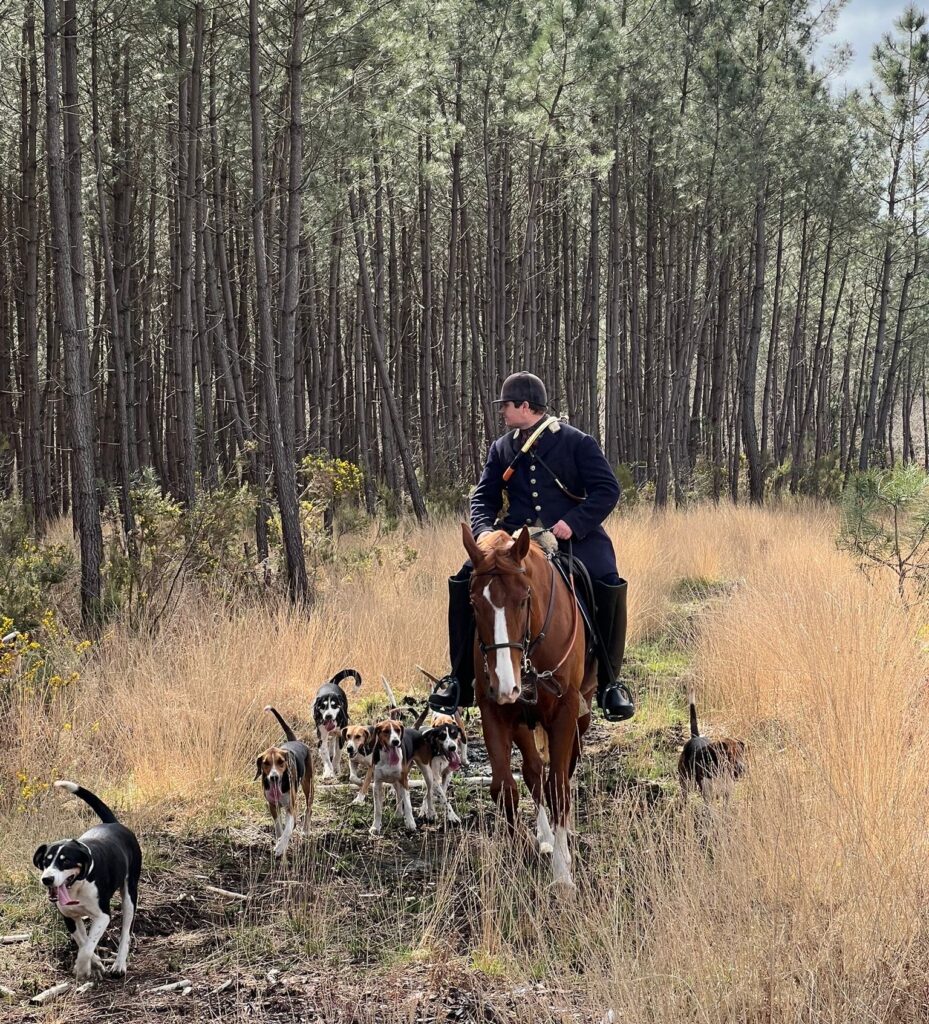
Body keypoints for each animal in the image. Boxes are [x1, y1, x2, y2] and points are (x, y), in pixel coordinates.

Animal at [33, 778, 142, 978]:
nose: (47, 879)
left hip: (130, 894)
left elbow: (87, 947)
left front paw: (82, 968)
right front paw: (96, 964)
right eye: (45, 861)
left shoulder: (103, 916)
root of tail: (113, 823)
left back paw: (119, 964)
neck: (77, 886)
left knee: (126, 931)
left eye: (66, 861)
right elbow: (84, 943)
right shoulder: (69, 917)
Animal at [256, 704, 313, 856]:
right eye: (266, 763)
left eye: (281, 762)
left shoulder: (291, 807)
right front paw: (279, 839)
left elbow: (288, 828)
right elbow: (278, 826)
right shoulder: (272, 805)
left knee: (308, 808)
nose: (274, 777)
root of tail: (295, 741)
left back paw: (305, 829)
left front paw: (281, 847)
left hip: (308, 785)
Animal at [460, 520, 598, 888]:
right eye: (473, 603)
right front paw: (523, 848)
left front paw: (563, 874)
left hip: (581, 712)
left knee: (564, 768)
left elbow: (559, 787)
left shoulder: (565, 712)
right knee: (533, 771)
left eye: (523, 600)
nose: (506, 685)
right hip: (522, 719)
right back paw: (545, 837)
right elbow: (504, 788)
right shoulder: (495, 712)